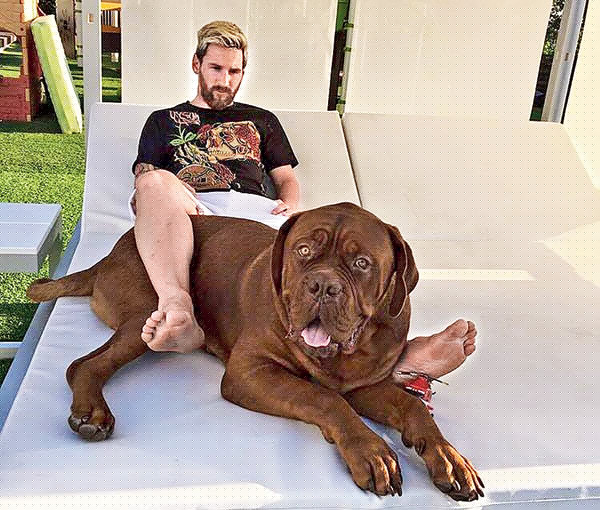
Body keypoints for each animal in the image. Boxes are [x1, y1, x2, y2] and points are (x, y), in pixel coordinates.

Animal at [28, 202, 484, 500]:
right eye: (303, 251)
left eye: (361, 263)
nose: (323, 285)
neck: (340, 357)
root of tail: (109, 254)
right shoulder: (249, 374)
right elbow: (325, 398)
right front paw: (371, 451)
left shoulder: (365, 383)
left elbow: (412, 407)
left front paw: (450, 457)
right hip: (146, 317)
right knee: (84, 365)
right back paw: (92, 413)